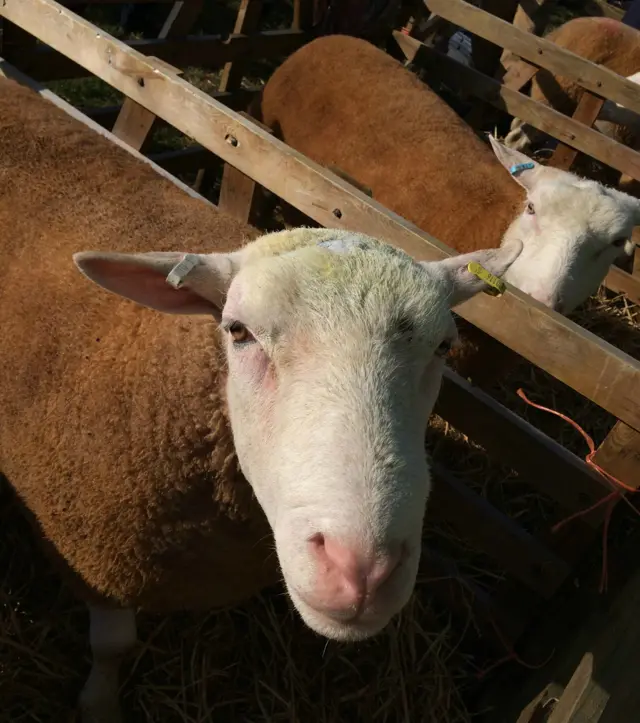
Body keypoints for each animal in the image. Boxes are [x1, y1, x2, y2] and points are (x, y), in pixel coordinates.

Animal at [0, 70, 524, 720]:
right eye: (238, 332)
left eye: (444, 347)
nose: (362, 570)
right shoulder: (91, 556)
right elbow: (113, 647)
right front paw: (99, 705)